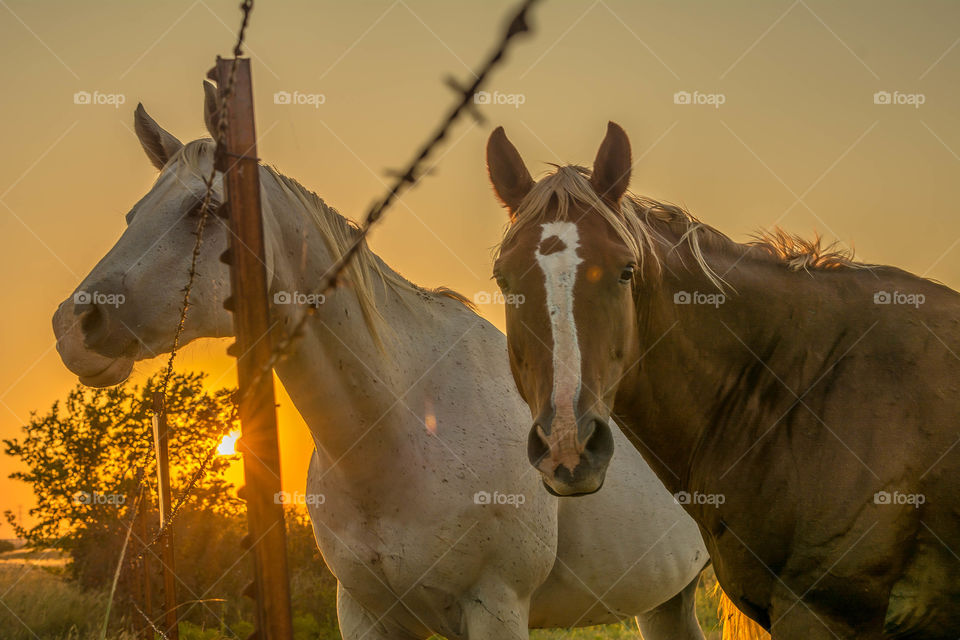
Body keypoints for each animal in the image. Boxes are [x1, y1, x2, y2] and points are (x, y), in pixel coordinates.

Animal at [52, 86, 708, 640]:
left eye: (206, 210)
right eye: (134, 214)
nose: (73, 327)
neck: (400, 431)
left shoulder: (496, 606)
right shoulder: (365, 610)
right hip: (668, 598)